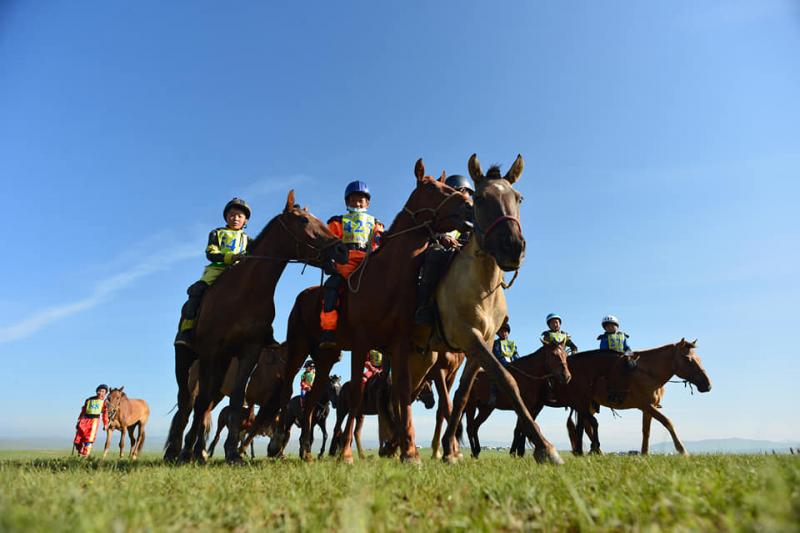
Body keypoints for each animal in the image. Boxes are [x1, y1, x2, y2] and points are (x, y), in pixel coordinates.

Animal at [164, 190, 348, 462]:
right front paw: (188, 451)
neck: (244, 293)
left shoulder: (248, 352)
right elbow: (204, 403)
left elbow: (239, 398)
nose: (341, 249)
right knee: (188, 403)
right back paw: (176, 450)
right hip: (187, 360)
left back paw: (199, 451)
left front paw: (233, 453)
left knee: (204, 405)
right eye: (304, 220)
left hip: (221, 366)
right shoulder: (210, 351)